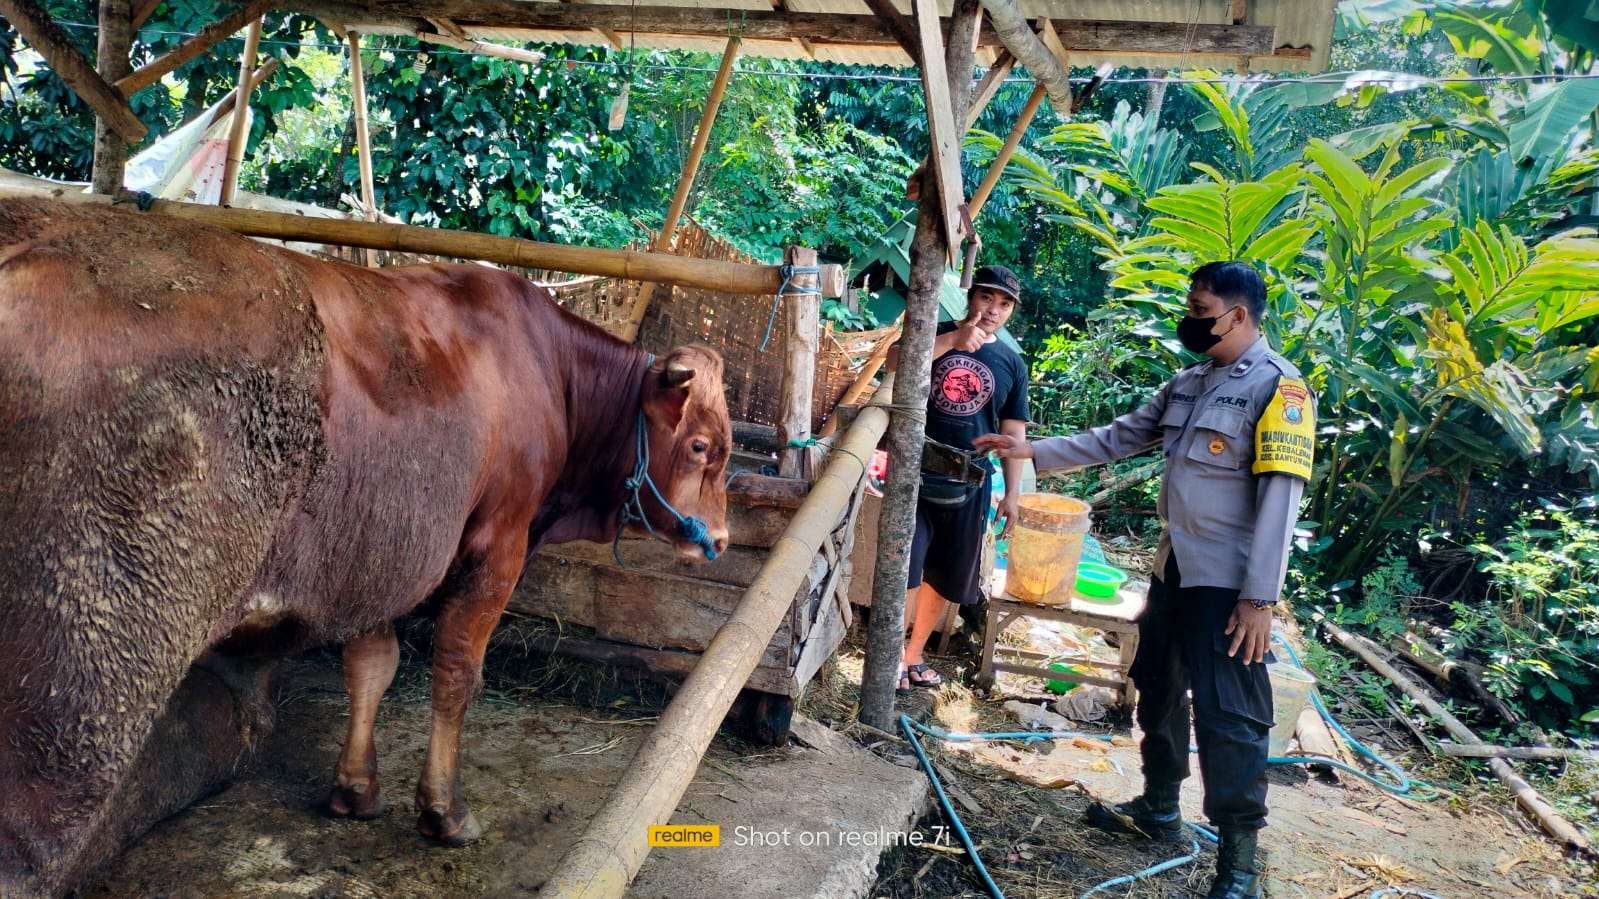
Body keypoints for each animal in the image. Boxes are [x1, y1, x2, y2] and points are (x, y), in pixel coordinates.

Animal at [0, 197, 732, 895]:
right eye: (703, 446)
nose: (720, 539)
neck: (550, 370)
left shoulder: (373, 555)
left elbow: (371, 665)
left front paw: (355, 789)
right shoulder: (499, 542)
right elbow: (456, 673)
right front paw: (443, 811)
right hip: (83, 675)